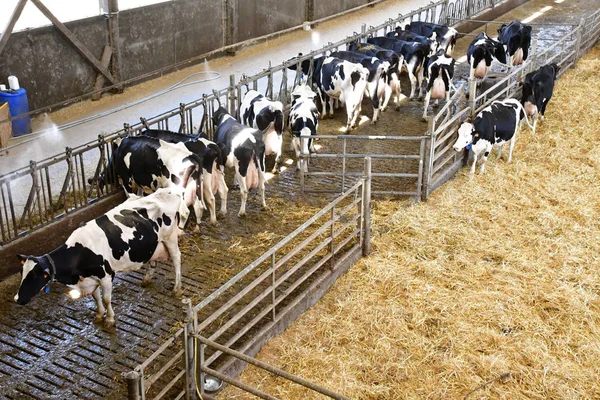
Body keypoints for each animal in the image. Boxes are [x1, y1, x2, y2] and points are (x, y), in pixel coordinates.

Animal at [14, 189, 189, 326]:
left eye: (34, 277)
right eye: (22, 273)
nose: (17, 299)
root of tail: (167, 191)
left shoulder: (106, 275)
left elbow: (105, 299)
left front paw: (110, 319)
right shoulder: (91, 278)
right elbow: (95, 297)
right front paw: (99, 315)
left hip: (170, 238)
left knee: (177, 259)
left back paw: (176, 288)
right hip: (154, 244)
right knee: (153, 260)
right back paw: (146, 279)